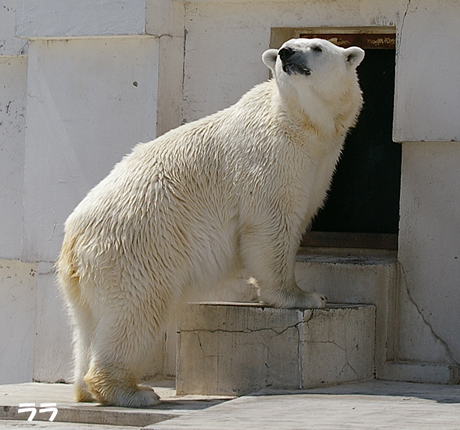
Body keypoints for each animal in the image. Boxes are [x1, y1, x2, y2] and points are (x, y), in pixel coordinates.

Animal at [56, 37, 362, 406]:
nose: (286, 53)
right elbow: (271, 225)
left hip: (86, 279)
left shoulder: (320, 161)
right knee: (136, 311)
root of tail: (72, 242)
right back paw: (133, 392)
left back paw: (87, 389)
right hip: (136, 252)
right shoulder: (272, 158)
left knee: (86, 325)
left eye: (316, 47)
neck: (301, 122)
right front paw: (304, 296)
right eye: (285, 47)